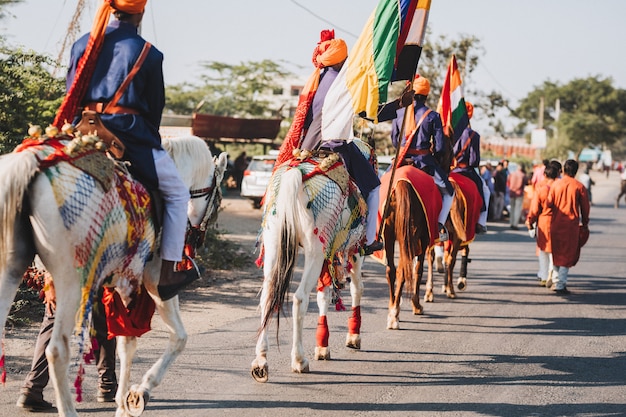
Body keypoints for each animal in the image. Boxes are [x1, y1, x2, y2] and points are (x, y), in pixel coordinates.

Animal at [0, 134, 227, 416]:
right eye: (216, 199)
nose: (197, 238)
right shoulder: (149, 282)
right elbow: (168, 338)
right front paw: (135, 395)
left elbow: (121, 339)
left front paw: (127, 396)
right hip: (72, 281)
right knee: (56, 350)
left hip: (12, 269)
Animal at [250, 151, 366, 382]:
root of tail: (293, 175)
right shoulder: (354, 250)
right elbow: (356, 288)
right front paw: (353, 336)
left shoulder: (329, 257)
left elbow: (324, 294)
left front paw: (323, 345)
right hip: (314, 251)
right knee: (299, 298)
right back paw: (299, 360)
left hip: (275, 243)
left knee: (267, 295)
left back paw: (261, 361)